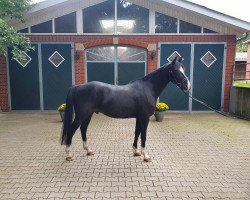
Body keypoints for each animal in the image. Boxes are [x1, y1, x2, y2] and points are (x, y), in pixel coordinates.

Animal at [61, 55, 190, 161]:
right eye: (175, 70)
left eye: (183, 68)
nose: (187, 85)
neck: (147, 88)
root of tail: (77, 86)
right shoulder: (145, 118)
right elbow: (143, 135)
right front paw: (145, 155)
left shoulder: (139, 117)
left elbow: (137, 132)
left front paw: (136, 152)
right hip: (82, 115)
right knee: (72, 130)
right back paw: (69, 154)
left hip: (88, 114)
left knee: (83, 129)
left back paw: (88, 150)